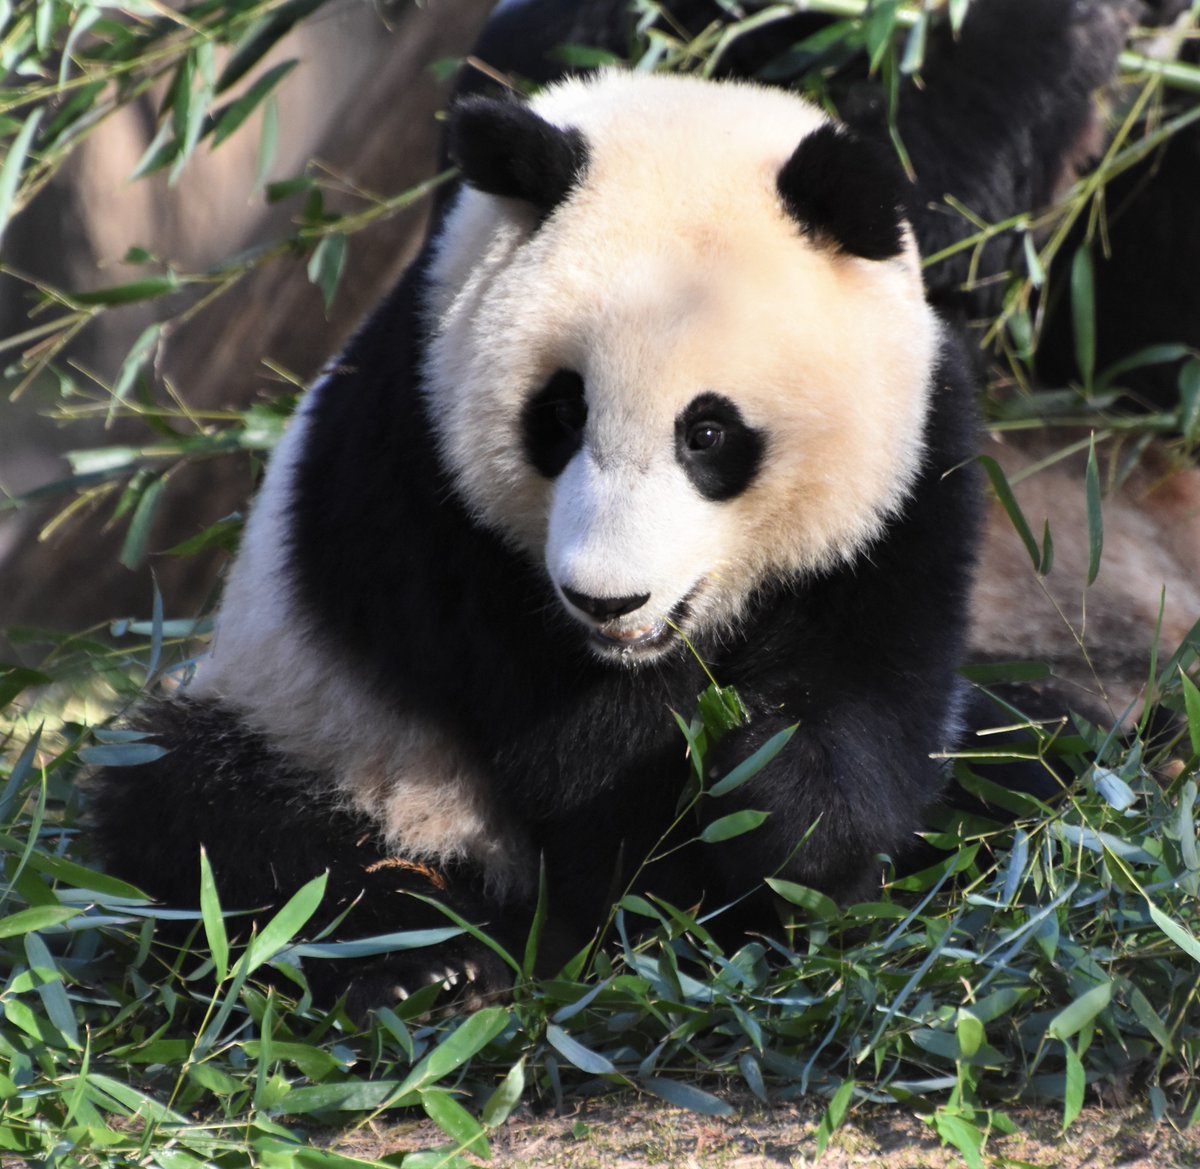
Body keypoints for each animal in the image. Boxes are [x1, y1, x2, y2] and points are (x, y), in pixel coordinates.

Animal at [87, 0, 1131, 1010]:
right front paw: (661, 876)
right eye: (559, 413)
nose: (607, 599)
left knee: (1043, 749)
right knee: (211, 820)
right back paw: (427, 959)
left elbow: (877, 692)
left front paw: (775, 804)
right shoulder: (418, 483)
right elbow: (573, 762)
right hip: (323, 728)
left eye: (707, 433)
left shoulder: (914, 471)